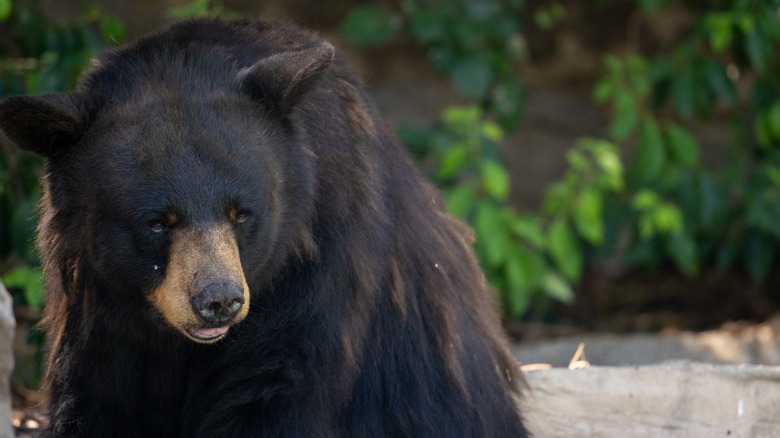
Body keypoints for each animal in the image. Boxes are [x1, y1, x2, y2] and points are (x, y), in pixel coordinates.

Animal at [0, 18, 529, 437]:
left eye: (242, 213)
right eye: (157, 222)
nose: (219, 301)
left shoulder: (317, 268)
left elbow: (274, 390)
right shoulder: (98, 304)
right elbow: (101, 394)